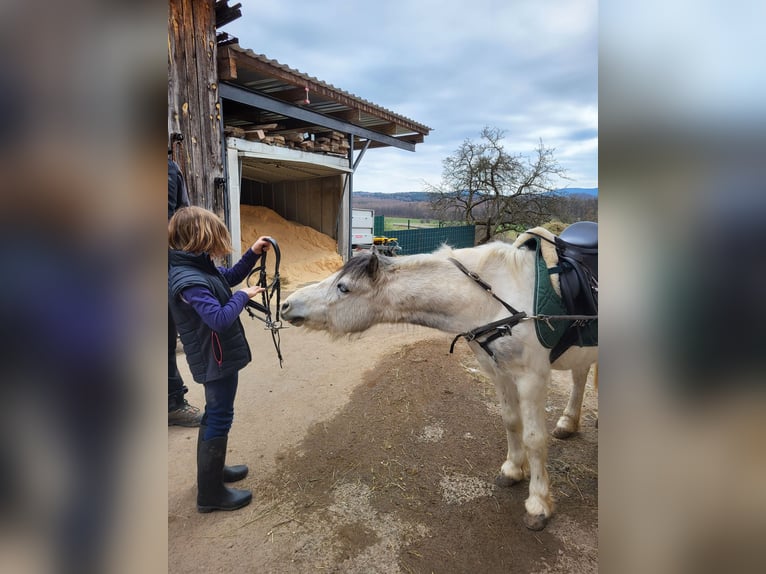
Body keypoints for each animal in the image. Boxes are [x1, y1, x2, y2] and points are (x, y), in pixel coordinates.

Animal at [280, 237, 597, 530]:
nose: (286, 304)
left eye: (343, 287)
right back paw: (568, 423)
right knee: (580, 377)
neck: (495, 298)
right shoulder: (500, 372)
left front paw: (538, 503)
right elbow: (510, 422)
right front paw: (512, 470)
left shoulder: (531, 378)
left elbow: (534, 439)